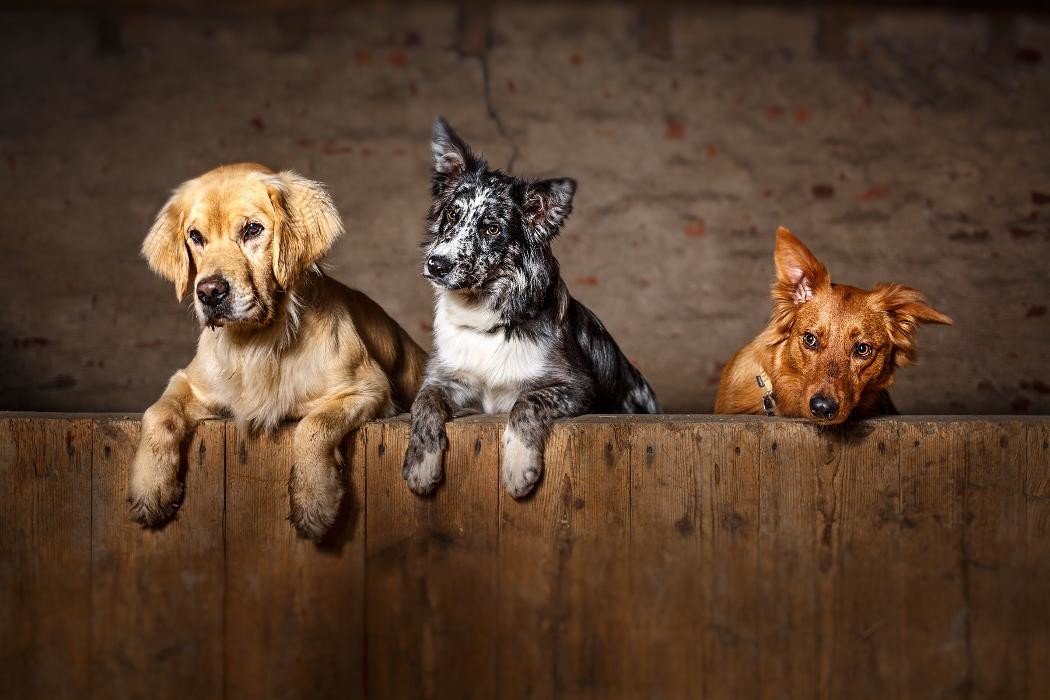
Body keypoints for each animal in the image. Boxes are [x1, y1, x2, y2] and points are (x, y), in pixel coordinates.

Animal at [131, 164, 426, 541]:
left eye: (252, 229)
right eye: (196, 237)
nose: (209, 293)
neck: (257, 342)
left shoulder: (368, 388)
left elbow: (314, 426)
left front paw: (315, 501)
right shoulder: (189, 382)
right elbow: (158, 414)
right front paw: (150, 489)